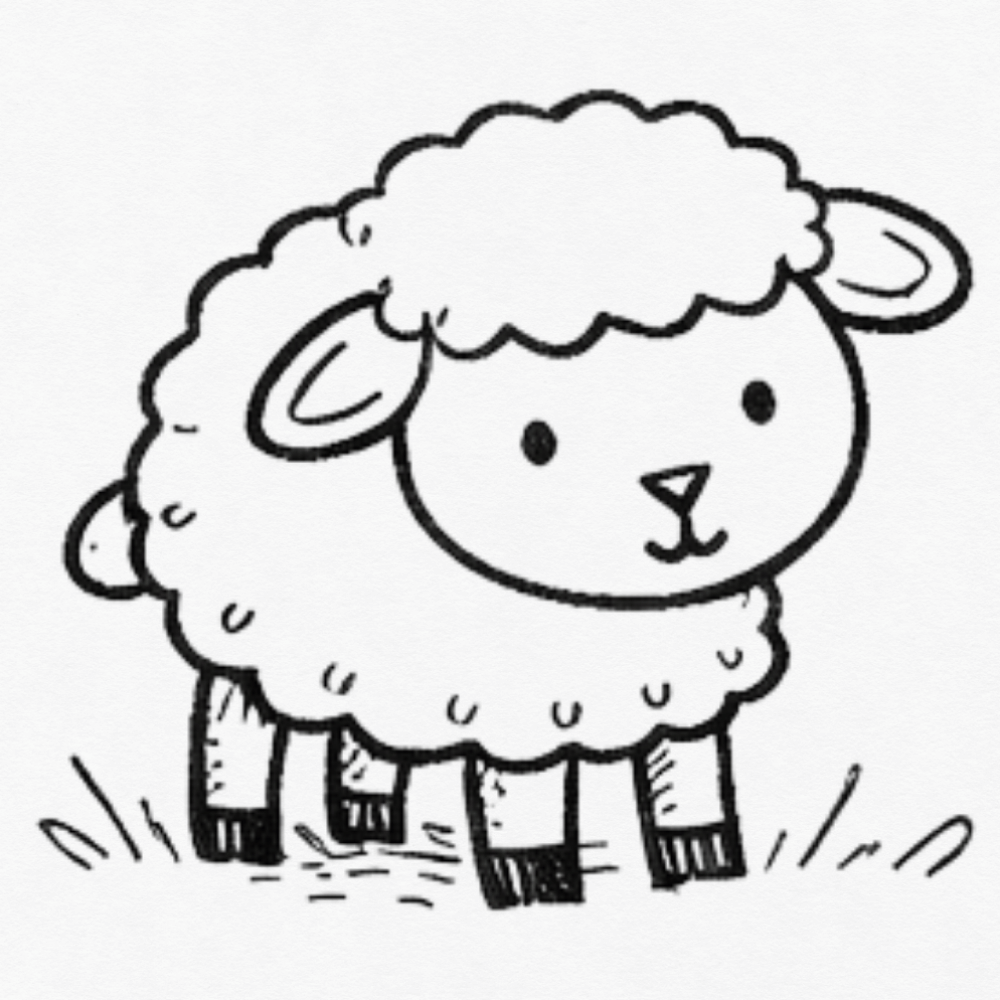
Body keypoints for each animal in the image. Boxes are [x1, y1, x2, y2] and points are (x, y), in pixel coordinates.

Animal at [66, 92, 971, 907]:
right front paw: (537, 883)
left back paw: (367, 820)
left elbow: (690, 781)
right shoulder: (517, 696)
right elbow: (523, 803)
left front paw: (704, 866)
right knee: (235, 721)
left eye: (761, 399)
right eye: (537, 441)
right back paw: (238, 833)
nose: (680, 486)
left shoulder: (684, 677)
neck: (615, 616)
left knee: (366, 736)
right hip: (247, 623)